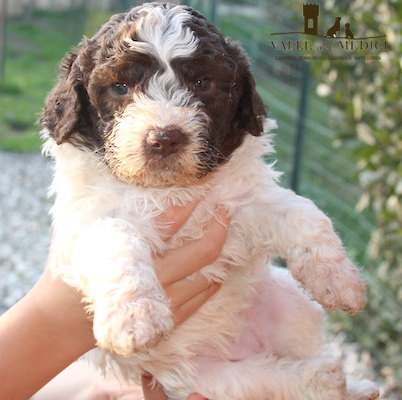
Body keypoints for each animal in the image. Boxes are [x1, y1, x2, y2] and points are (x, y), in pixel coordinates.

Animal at [42, 3, 378, 400]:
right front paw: (135, 316)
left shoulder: (242, 203)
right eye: (120, 87)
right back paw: (325, 378)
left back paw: (350, 384)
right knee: (265, 380)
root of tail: (239, 342)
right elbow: (115, 239)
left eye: (202, 83)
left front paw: (339, 279)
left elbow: (302, 213)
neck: (168, 189)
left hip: (290, 302)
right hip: (201, 381)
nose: (164, 138)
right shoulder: (82, 222)